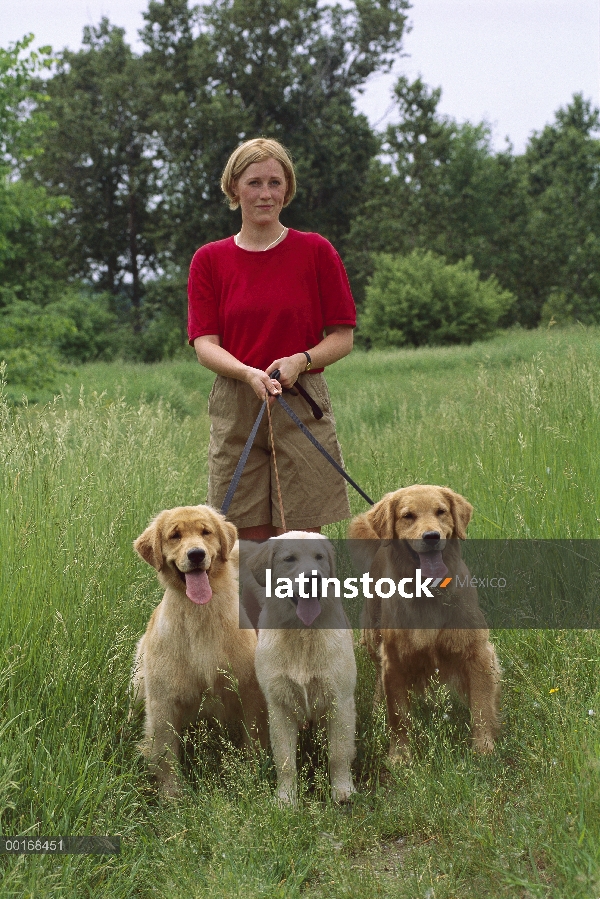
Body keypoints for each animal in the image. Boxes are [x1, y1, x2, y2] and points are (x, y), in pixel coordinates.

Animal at [132, 506, 266, 796]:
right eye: (175, 536)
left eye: (206, 532)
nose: (196, 554)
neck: (200, 615)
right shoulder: (163, 701)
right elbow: (165, 754)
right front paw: (172, 795)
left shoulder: (249, 692)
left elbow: (253, 741)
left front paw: (250, 779)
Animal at [243, 536, 356, 808]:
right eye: (289, 559)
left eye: (319, 557)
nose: (313, 578)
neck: (302, 632)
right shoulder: (279, 706)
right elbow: (285, 761)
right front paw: (286, 798)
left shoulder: (340, 702)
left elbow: (338, 754)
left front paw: (342, 790)